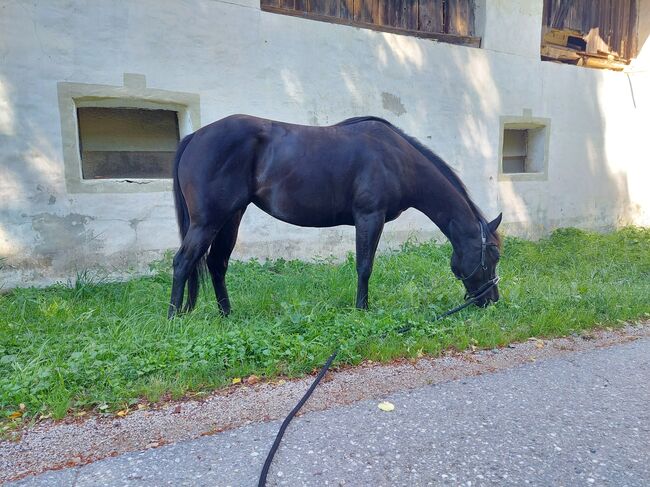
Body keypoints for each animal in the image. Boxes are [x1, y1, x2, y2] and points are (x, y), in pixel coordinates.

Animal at [168, 116, 502, 318]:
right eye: (494, 256)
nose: (493, 300)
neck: (397, 159)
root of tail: (195, 136)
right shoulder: (369, 216)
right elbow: (365, 267)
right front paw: (362, 309)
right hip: (208, 221)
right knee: (183, 262)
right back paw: (173, 317)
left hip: (231, 217)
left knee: (216, 263)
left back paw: (227, 315)